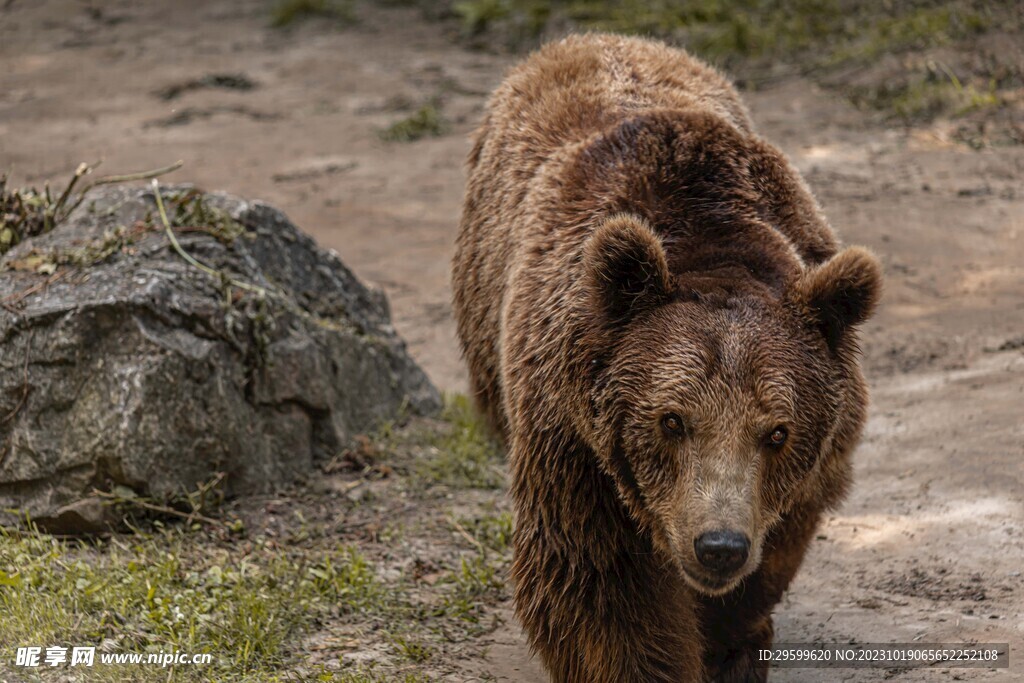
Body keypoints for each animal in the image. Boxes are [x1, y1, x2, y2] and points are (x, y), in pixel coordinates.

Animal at [452, 34, 884, 683]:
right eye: (671, 420)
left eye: (777, 432)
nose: (719, 545)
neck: (709, 239)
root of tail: (590, 38)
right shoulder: (577, 438)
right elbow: (604, 584)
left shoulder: (815, 461)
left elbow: (771, 552)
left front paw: (732, 643)